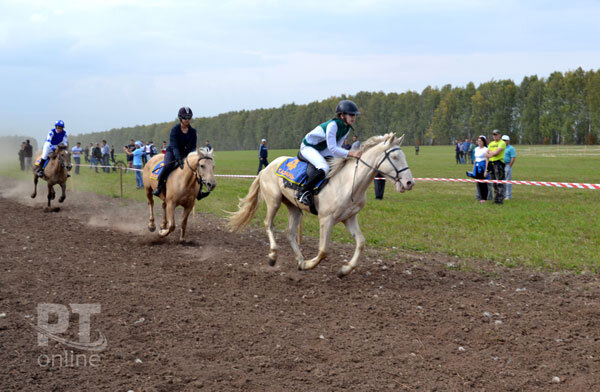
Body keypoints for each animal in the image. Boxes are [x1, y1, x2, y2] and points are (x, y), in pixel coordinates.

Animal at [227, 133, 414, 278]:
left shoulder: (349, 218)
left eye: (404, 156)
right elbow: (323, 250)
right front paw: (309, 264)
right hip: (274, 201)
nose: (409, 182)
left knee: (290, 232)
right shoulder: (326, 219)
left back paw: (300, 259)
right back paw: (274, 256)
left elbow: (361, 242)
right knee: (268, 224)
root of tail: (265, 169)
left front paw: (344, 270)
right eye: (395, 157)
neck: (349, 183)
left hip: (294, 208)